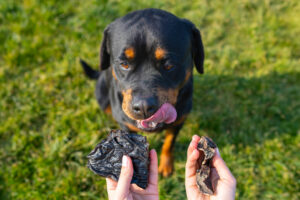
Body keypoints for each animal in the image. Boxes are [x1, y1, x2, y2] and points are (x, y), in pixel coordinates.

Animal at [79, 8, 204, 177]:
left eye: (169, 64)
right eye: (124, 64)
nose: (143, 107)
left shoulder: (179, 119)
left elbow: (169, 142)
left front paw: (166, 165)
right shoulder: (126, 126)